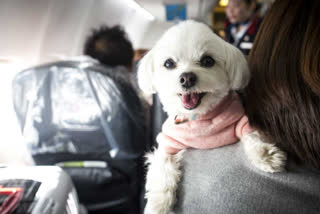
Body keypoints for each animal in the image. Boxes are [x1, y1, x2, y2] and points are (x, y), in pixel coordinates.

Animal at [138, 20, 288, 214]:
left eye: (207, 61)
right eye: (169, 63)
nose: (187, 78)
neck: (199, 118)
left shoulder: (240, 119)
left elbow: (251, 134)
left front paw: (266, 155)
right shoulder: (168, 141)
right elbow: (162, 165)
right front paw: (159, 202)